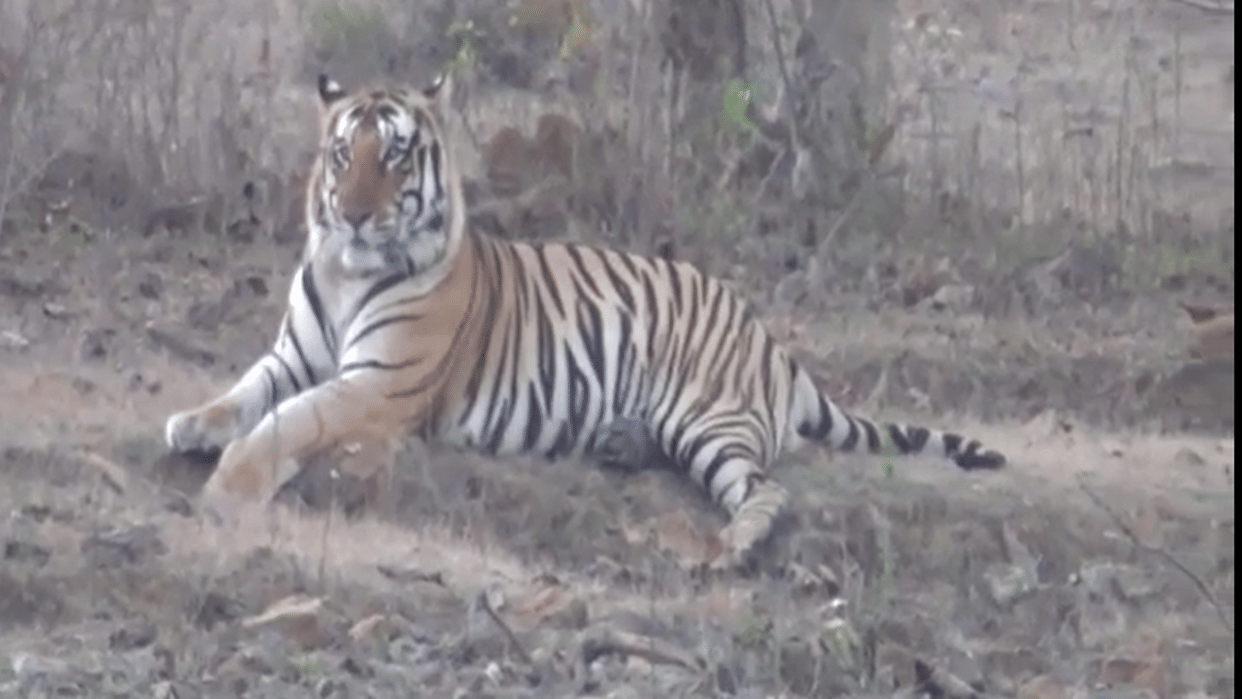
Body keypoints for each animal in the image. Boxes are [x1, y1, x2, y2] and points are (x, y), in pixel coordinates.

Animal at [164, 72, 1007, 568]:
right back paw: (620, 446)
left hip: (708, 418)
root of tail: (770, 339)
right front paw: (191, 423)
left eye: (396, 155)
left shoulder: (374, 384)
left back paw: (730, 546)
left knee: (767, 493)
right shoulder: (294, 355)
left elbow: (287, 421)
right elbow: (245, 390)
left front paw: (230, 485)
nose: (353, 213)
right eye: (343, 154)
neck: (346, 272)